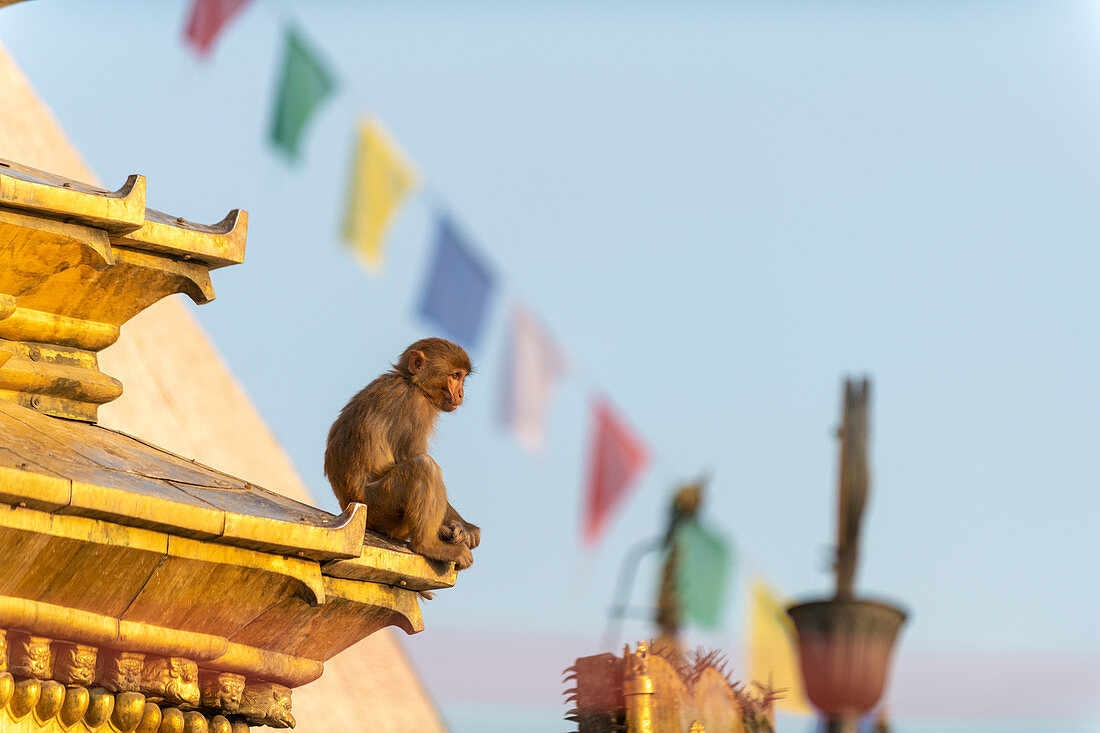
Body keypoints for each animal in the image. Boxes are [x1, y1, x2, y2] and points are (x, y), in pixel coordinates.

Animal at [325, 334, 481, 567]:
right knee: (422, 466)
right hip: (380, 506)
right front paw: (465, 528)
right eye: (455, 376)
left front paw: (462, 528)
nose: (461, 393)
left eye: (462, 377)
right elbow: (412, 455)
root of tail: (350, 505)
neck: (411, 382)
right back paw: (428, 545)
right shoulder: (415, 407)